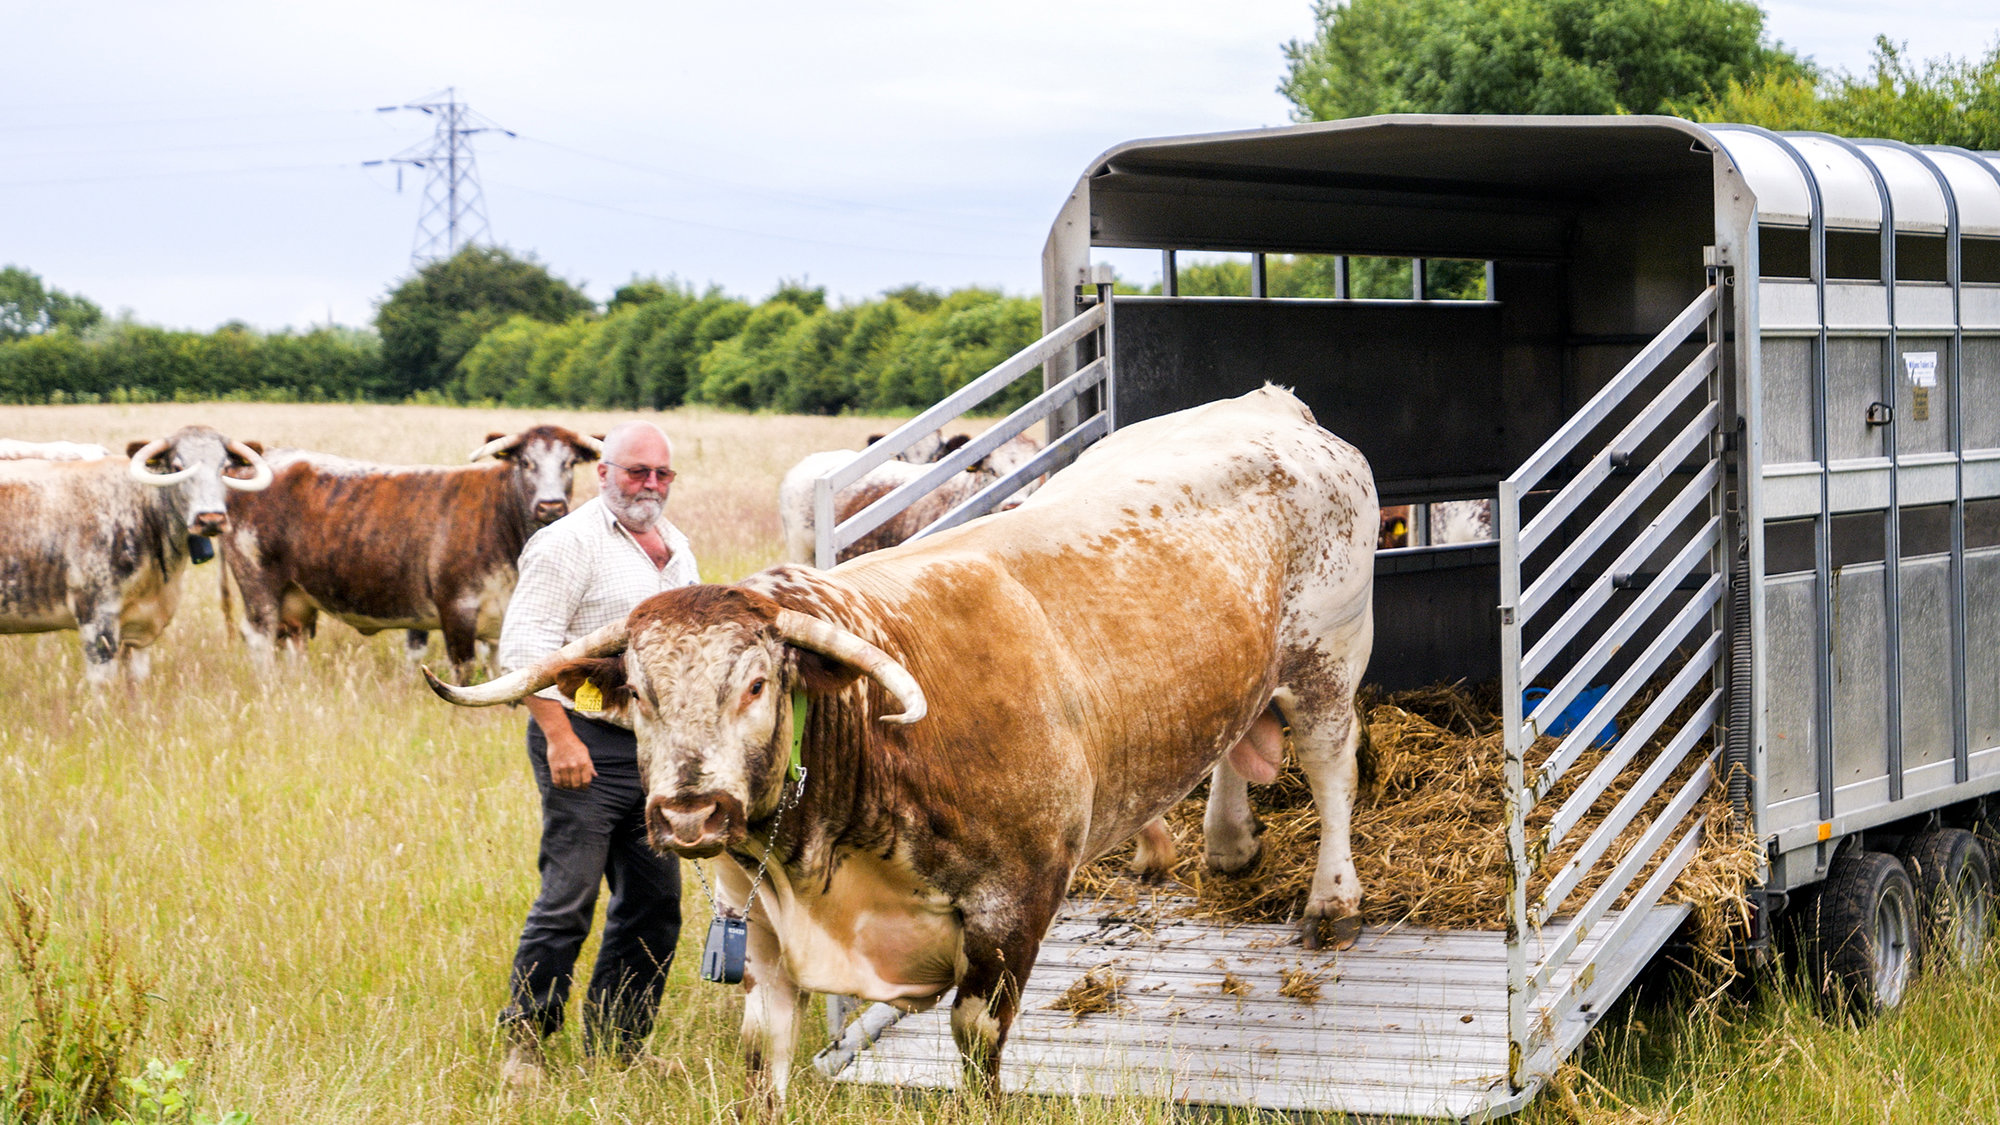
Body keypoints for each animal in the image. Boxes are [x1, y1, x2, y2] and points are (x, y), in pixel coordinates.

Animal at [0, 426, 273, 684]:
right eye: (177, 467)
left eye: (225, 467)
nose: (211, 518)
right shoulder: (96, 619)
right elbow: (103, 683)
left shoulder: (140, 629)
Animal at [217, 425, 601, 676]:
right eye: (525, 463)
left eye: (569, 463)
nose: (550, 505)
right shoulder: (457, 609)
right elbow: (464, 670)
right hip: (258, 581)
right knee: (260, 637)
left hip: (295, 597)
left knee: (292, 639)